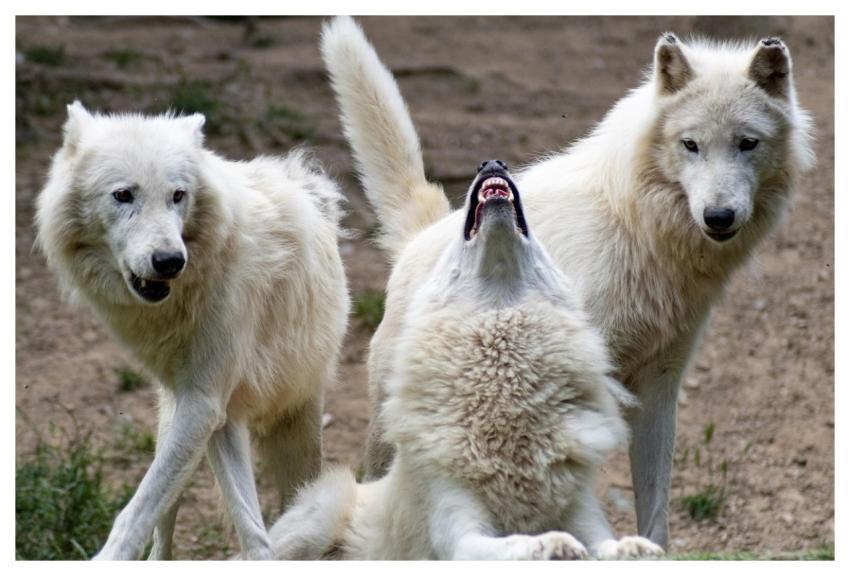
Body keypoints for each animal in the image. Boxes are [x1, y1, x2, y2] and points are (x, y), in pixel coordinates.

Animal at [35, 103, 350, 560]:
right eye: (123, 195)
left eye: (178, 195)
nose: (169, 260)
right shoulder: (207, 407)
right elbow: (224, 523)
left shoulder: (204, 402)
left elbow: (138, 513)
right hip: (186, 418)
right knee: (170, 527)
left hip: (294, 423)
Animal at [268, 160, 662, 560]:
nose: (492, 164)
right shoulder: (459, 533)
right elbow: (514, 543)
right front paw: (551, 543)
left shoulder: (585, 514)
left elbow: (608, 542)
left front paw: (636, 547)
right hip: (323, 515)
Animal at [321, 17, 814, 548]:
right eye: (691, 145)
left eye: (747, 143)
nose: (719, 217)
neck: (638, 230)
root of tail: (424, 234)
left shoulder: (660, 386)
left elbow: (655, 512)